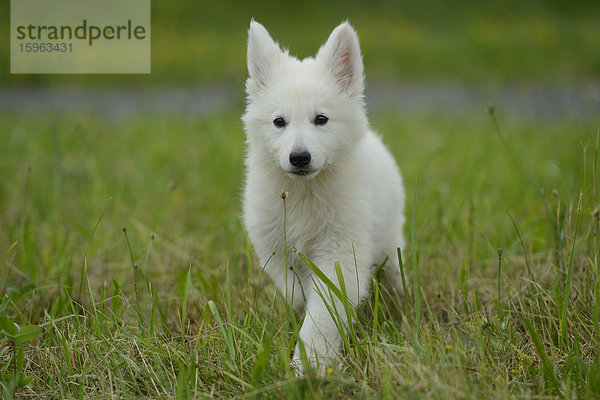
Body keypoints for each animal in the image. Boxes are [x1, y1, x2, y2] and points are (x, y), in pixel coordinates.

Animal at [241, 20, 406, 370]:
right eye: (279, 122)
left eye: (321, 119)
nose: (299, 158)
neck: (305, 192)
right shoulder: (275, 247)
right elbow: (296, 292)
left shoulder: (339, 252)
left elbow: (322, 314)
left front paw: (309, 364)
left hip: (390, 239)